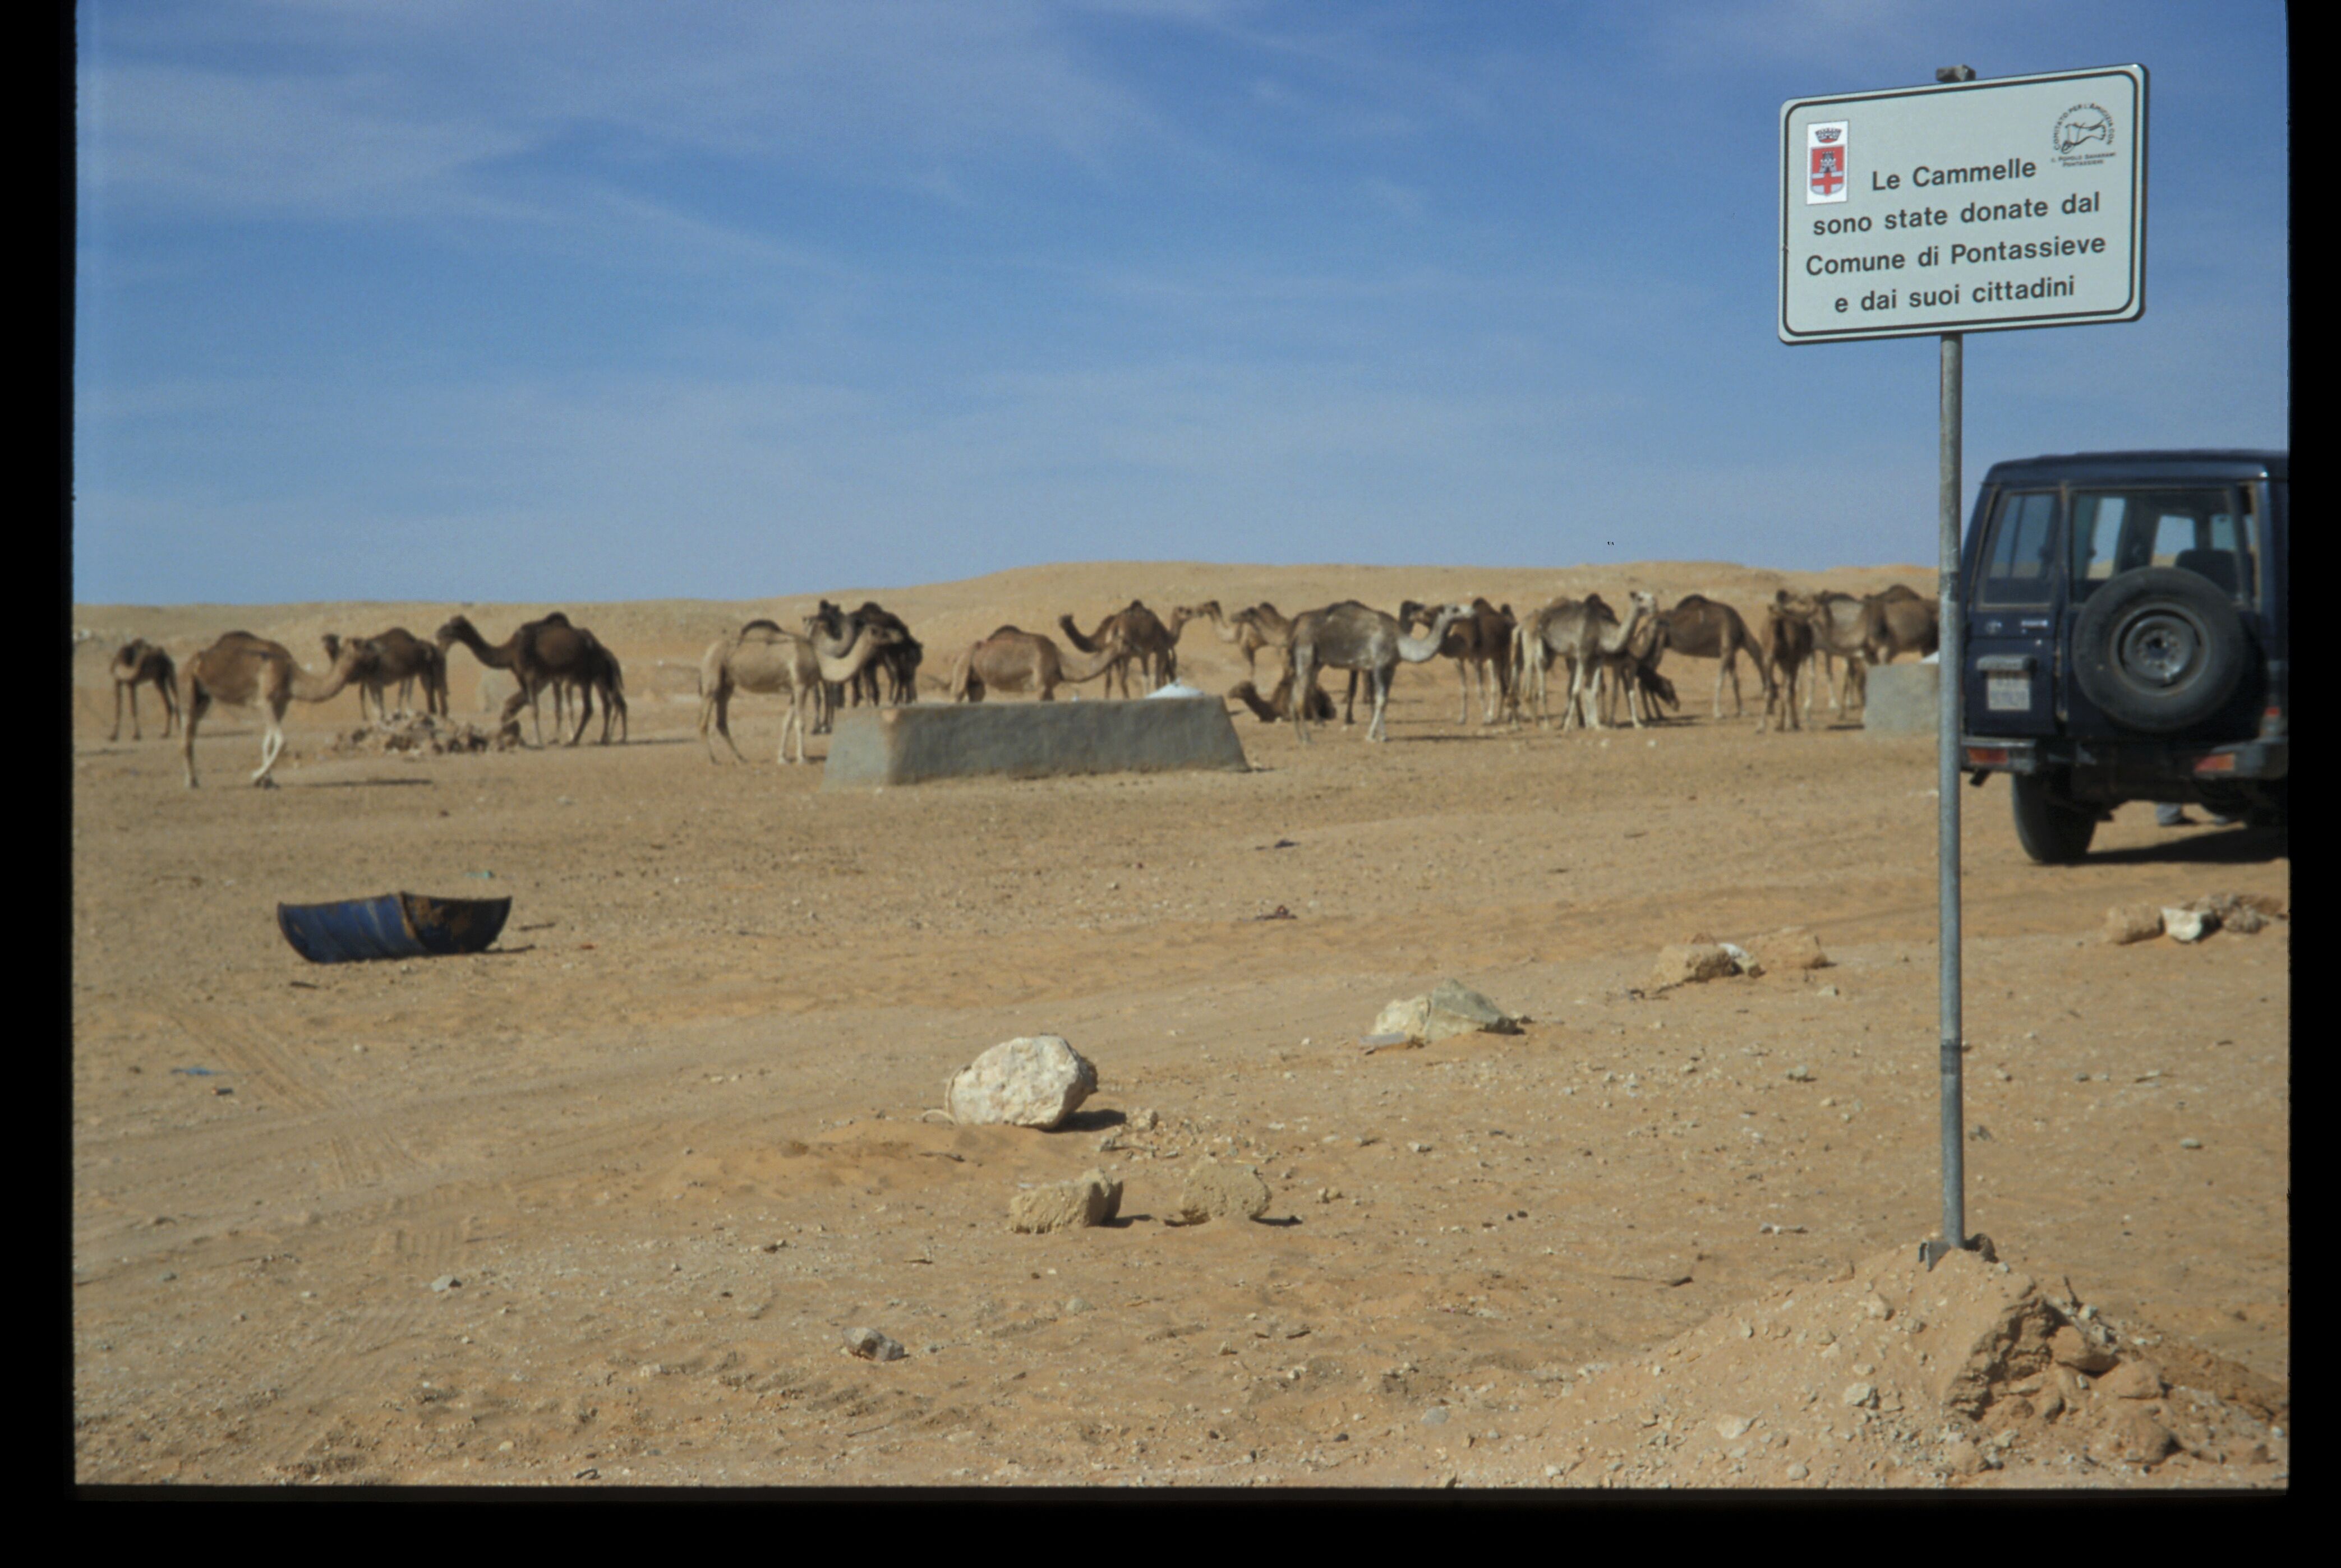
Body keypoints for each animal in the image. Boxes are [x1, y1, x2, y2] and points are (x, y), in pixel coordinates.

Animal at [107, 637, 178, 744]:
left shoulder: (132, 684)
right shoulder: (117, 682)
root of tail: (168, 658)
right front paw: (113, 736)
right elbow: (118, 709)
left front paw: (136, 735)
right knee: (169, 704)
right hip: (159, 680)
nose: (157, 649)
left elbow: (134, 708)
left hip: (169, 675)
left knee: (175, 697)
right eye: (146, 646)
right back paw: (166, 733)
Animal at [180, 631, 370, 791]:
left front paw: (268, 781)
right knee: (188, 738)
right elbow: (281, 741)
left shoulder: (281, 705)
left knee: (191, 733)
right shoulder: (265, 701)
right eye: (358, 643)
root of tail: (196, 659)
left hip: (204, 698)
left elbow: (268, 743)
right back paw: (191, 782)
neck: (290, 675)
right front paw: (256, 776)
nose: (371, 646)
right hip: (189, 688)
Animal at [693, 617, 894, 763]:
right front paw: (802, 758)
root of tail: (706, 654)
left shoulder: (793, 690)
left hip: (727, 686)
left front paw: (782, 757)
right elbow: (800, 723)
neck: (820, 660)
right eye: (879, 631)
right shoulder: (800, 686)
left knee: (721, 721)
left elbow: (787, 723)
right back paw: (712, 759)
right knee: (703, 722)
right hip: (712, 681)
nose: (896, 636)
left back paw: (741, 758)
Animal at [941, 627, 1123, 707]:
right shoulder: (1042, 683)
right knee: (957, 694)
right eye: (1126, 642)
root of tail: (960, 655)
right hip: (963, 667)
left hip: (976, 680)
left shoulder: (1049, 687)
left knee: (977, 695)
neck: (1059, 660)